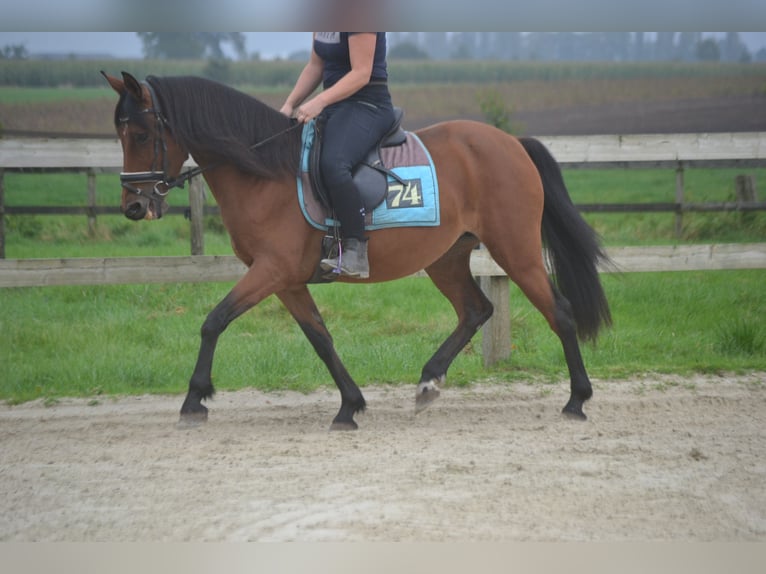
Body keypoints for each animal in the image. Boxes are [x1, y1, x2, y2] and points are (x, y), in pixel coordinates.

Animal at [105, 72, 616, 430]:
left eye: (142, 135)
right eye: (121, 135)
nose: (133, 206)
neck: (265, 171)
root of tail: (511, 143)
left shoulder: (270, 271)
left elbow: (213, 322)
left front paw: (194, 399)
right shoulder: (286, 280)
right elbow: (320, 338)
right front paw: (350, 405)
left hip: (516, 250)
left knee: (559, 312)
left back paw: (577, 400)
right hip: (446, 258)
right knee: (476, 309)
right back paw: (428, 381)